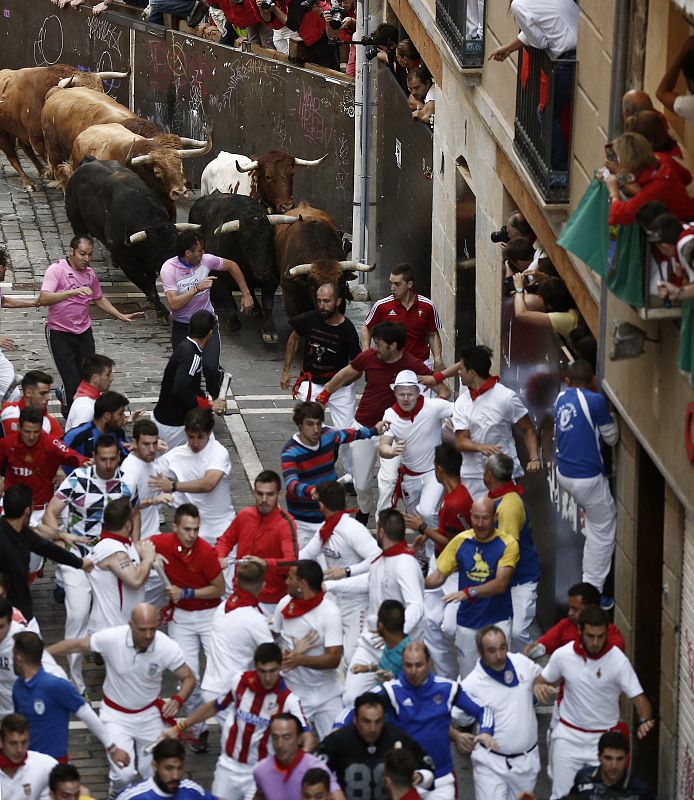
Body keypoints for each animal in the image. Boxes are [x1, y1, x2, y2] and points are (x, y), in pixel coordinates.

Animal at [0, 64, 129, 191]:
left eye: (100, 92)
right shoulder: (38, 138)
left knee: (24, 147)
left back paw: (43, 171)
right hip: (4, 134)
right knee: (12, 156)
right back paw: (28, 182)